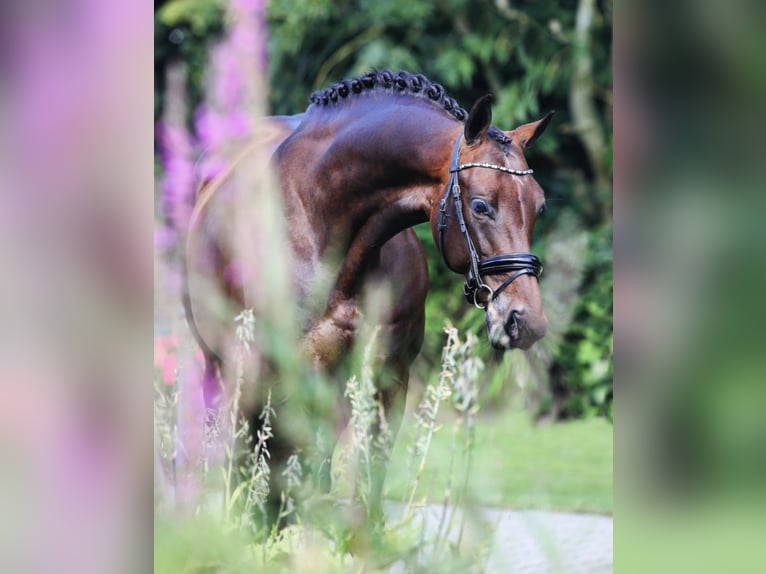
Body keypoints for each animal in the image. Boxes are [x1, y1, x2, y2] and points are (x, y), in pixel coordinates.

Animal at [183, 70, 556, 528]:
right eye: (482, 205)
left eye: (539, 206)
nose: (527, 321)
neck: (319, 227)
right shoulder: (254, 376)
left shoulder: (386, 380)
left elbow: (363, 484)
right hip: (221, 370)